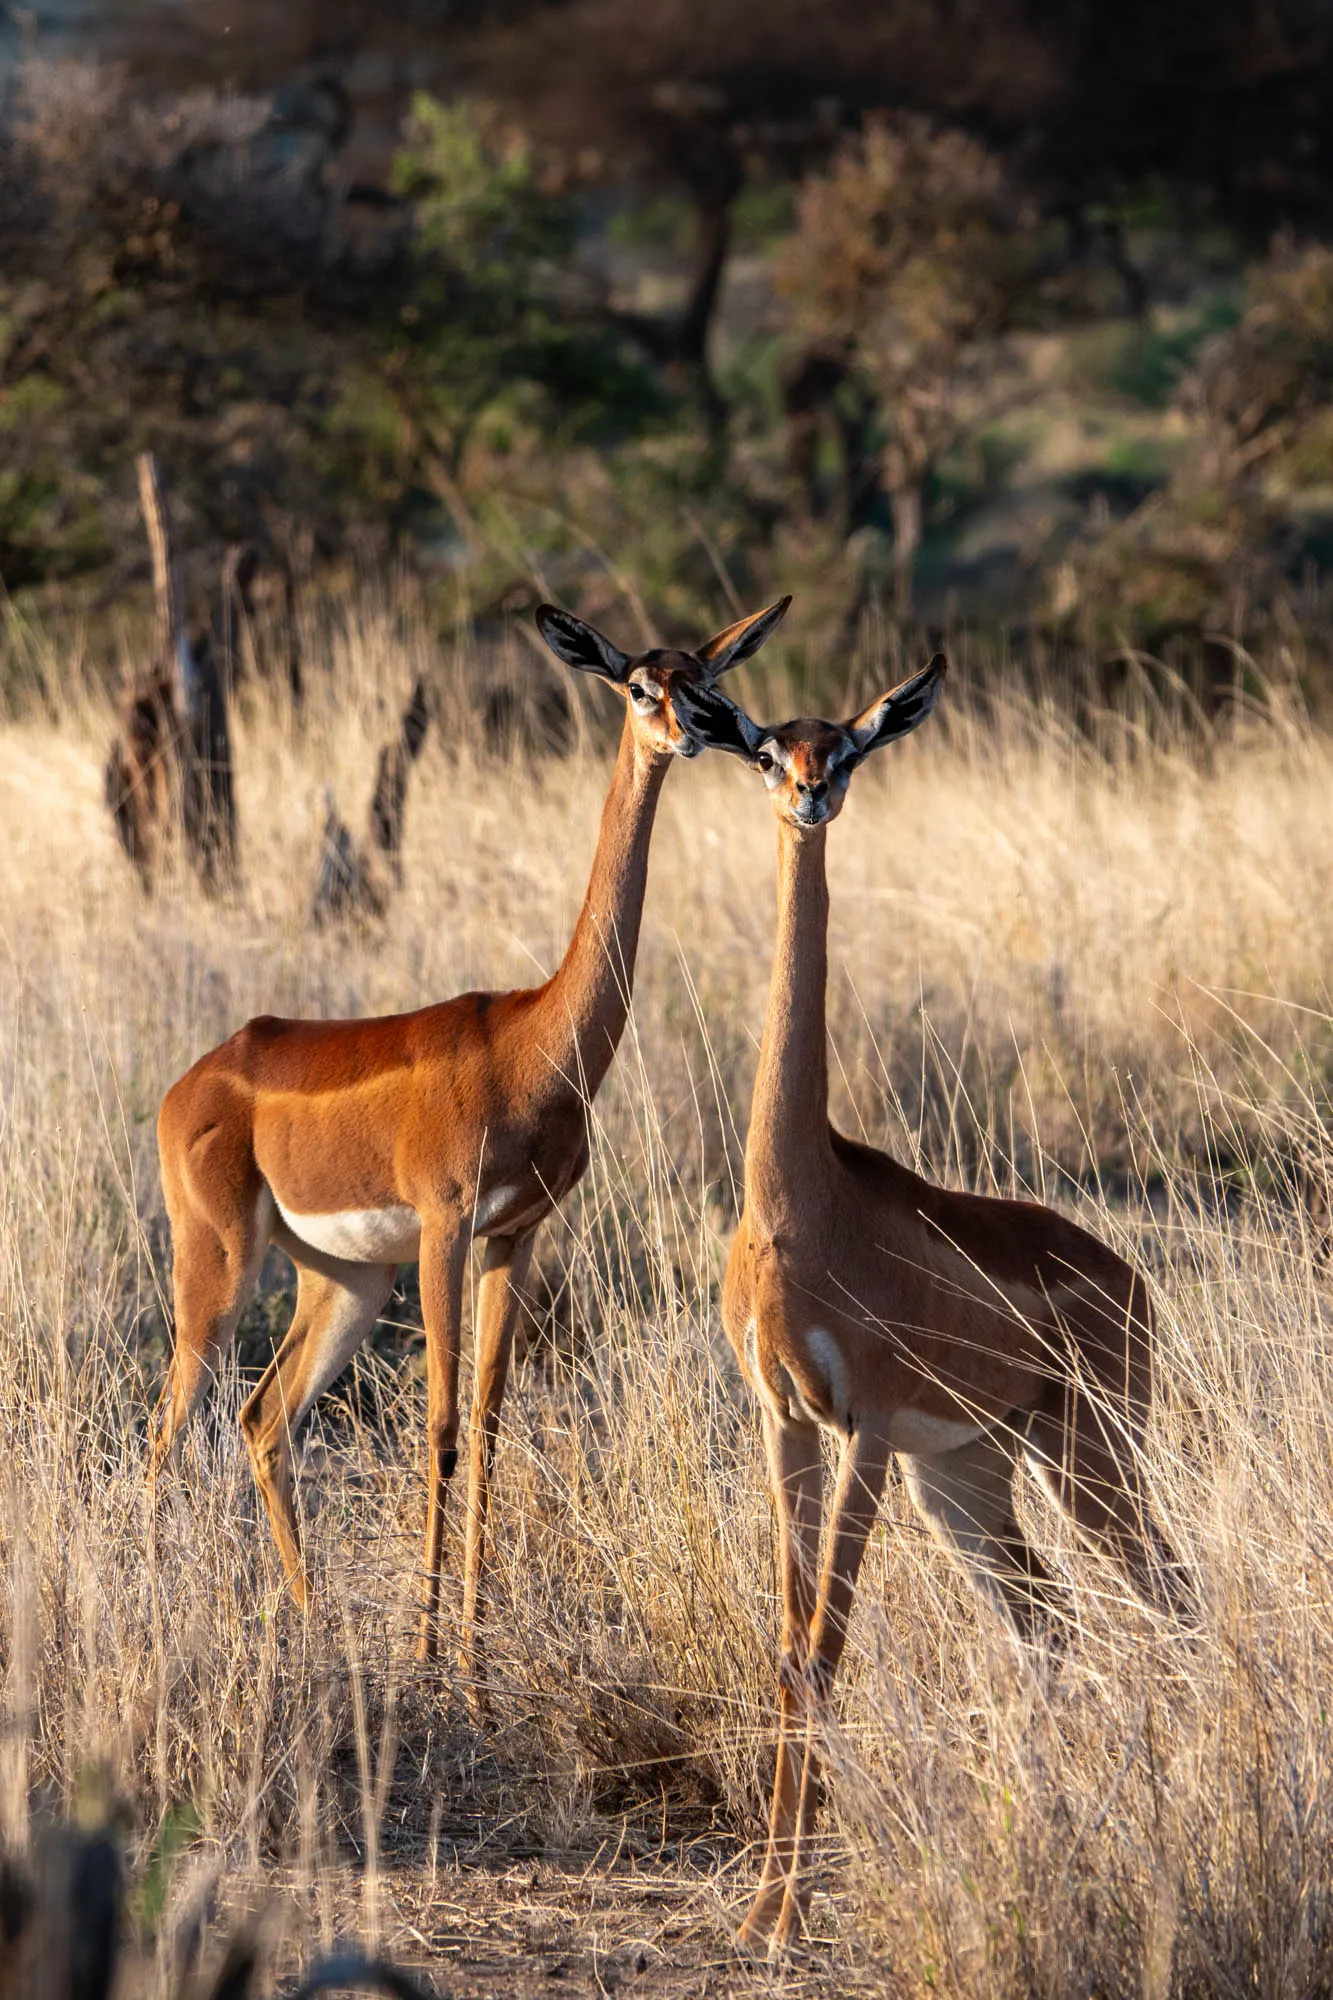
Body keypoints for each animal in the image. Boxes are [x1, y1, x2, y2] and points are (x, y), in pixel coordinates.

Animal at [147, 596, 791, 1687]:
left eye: (704, 676)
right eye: (638, 684)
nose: (708, 727)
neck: (532, 1041)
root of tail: (190, 1081)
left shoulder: (515, 1236)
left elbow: (489, 1426)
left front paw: (478, 1669)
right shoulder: (448, 1228)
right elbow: (444, 1427)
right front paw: (428, 1656)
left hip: (346, 1279)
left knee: (264, 1416)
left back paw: (315, 1624)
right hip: (222, 1266)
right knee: (167, 1425)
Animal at [670, 660, 1189, 1953]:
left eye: (848, 745)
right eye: (768, 748)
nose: (810, 794)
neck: (797, 1199)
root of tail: (1129, 1276)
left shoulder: (860, 1428)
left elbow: (826, 1645)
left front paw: (785, 1910)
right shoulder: (784, 1421)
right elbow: (789, 1648)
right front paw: (764, 1906)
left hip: (1088, 1453)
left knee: (1164, 1596)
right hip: (966, 1478)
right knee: (1049, 1622)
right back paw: (1065, 1829)